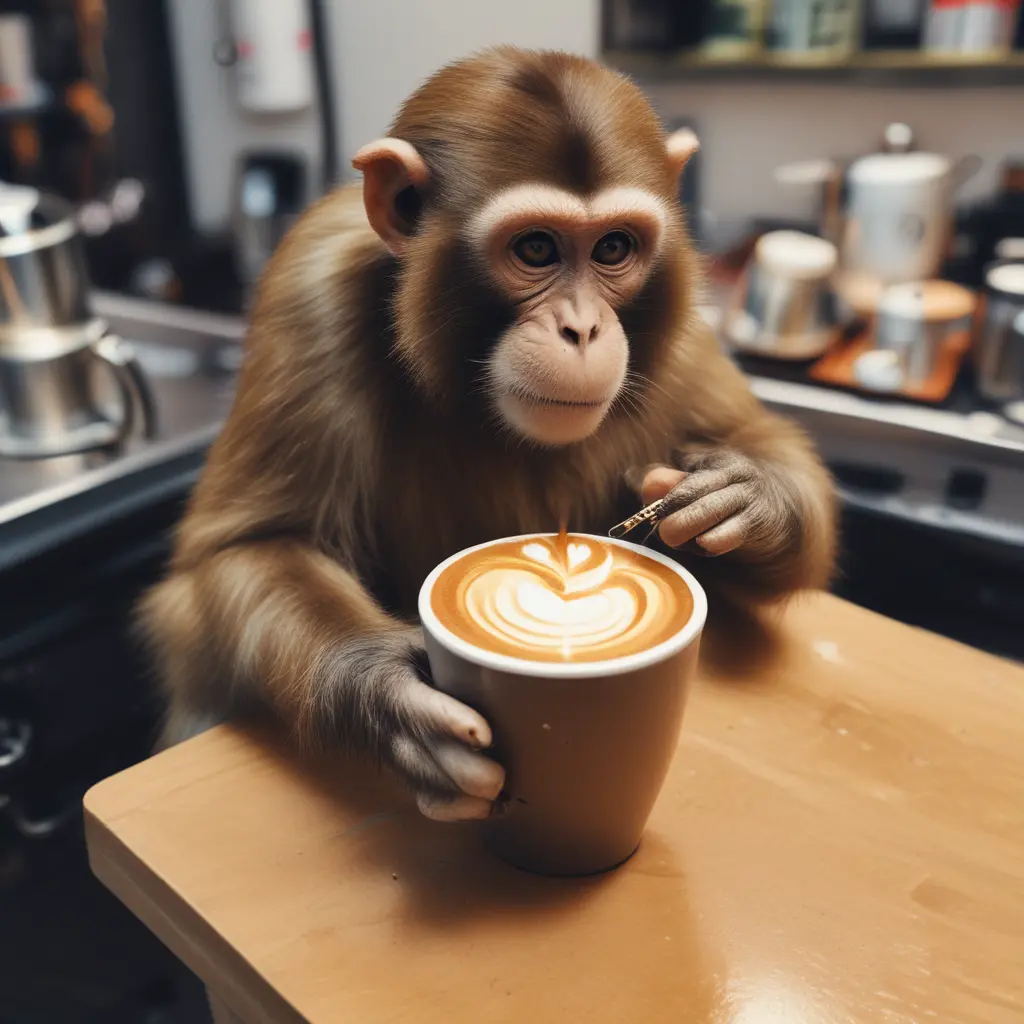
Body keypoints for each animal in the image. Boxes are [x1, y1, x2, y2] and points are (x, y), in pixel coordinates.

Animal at [138, 47, 836, 824]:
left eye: (613, 248)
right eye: (535, 248)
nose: (583, 329)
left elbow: (753, 432)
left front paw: (749, 496)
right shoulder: (309, 286)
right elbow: (245, 549)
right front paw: (393, 697)